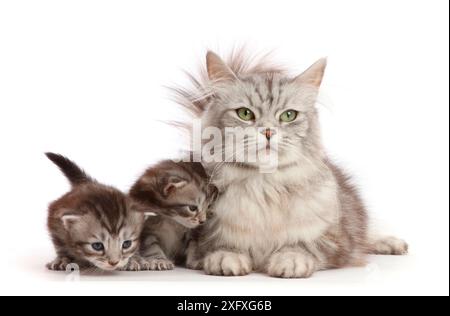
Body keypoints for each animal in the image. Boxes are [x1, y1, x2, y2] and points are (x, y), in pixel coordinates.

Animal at [172, 50, 408, 278]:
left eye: (288, 116)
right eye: (245, 113)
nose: (268, 132)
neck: (264, 187)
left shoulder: (336, 239)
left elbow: (304, 245)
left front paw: (291, 260)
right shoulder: (196, 233)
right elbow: (216, 246)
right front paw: (225, 257)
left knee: (368, 236)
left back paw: (391, 243)